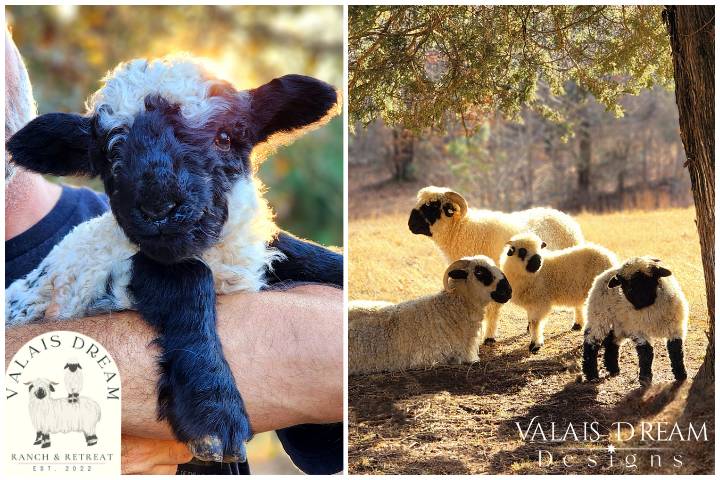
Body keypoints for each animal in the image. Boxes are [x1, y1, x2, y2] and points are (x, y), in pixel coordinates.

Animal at [4, 54, 344, 464]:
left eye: (224, 138)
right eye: (111, 155)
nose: (158, 209)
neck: (216, 255)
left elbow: (299, 251)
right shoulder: (111, 281)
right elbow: (189, 279)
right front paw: (213, 410)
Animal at [408, 186, 584, 344]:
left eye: (433, 206)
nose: (410, 224)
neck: (464, 231)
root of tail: (561, 215)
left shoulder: (497, 279)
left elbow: (493, 308)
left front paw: (489, 337)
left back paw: (578, 324)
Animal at [580, 256, 688, 384]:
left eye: (644, 278)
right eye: (622, 282)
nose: (630, 294)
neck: (649, 306)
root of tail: (604, 273)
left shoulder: (675, 328)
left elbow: (676, 351)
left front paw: (681, 375)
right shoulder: (639, 331)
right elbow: (646, 353)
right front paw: (645, 378)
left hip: (621, 323)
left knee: (612, 342)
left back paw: (613, 369)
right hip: (599, 316)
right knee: (591, 342)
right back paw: (592, 375)